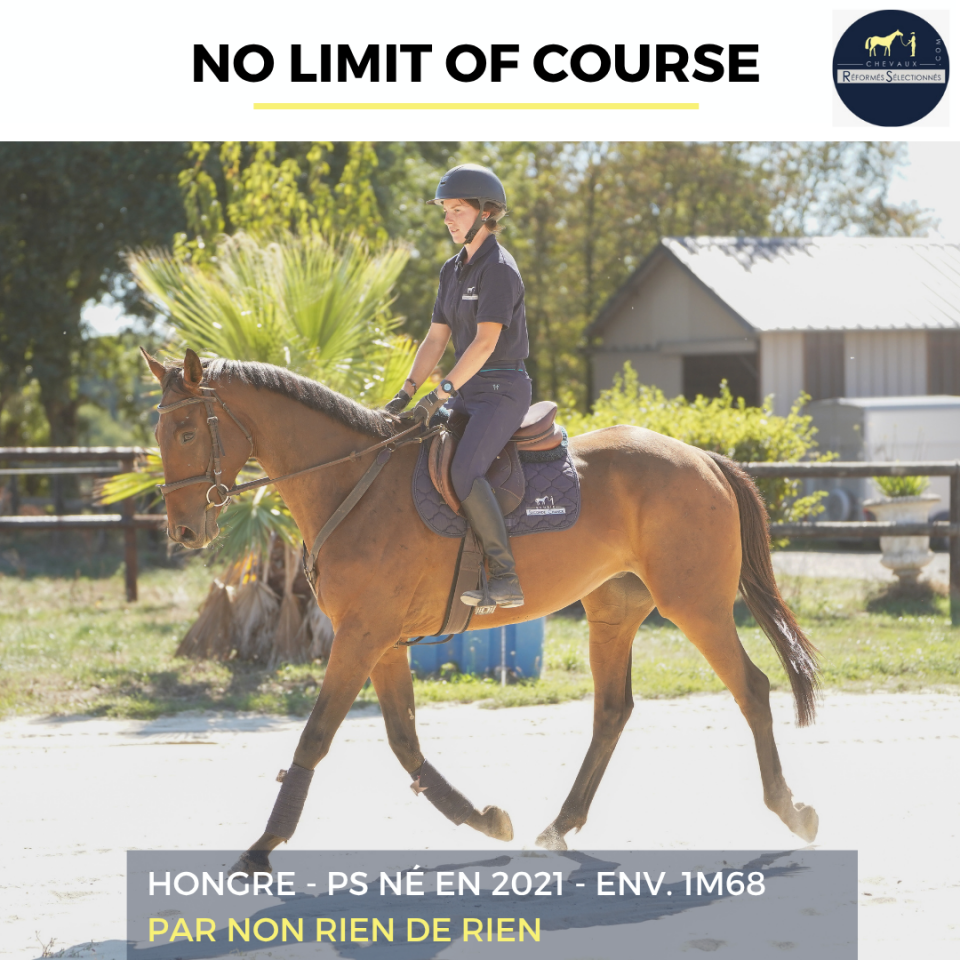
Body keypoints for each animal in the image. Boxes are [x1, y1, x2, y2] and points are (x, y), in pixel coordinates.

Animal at [144, 348, 820, 871]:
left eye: (186, 433)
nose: (182, 531)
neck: (352, 484)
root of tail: (704, 457)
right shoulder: (381, 642)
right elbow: (404, 740)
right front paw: (484, 818)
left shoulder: (361, 636)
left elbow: (315, 736)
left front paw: (263, 845)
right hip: (613, 613)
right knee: (611, 712)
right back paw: (561, 824)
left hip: (696, 607)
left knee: (752, 689)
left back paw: (790, 810)